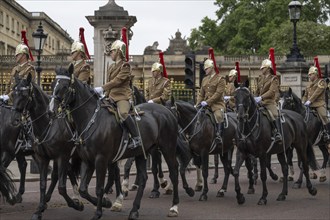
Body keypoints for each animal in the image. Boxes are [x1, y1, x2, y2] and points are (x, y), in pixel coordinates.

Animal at [11, 74, 84, 220]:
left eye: (24, 94)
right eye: (13, 93)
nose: (15, 119)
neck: (47, 123)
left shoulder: (61, 156)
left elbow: (61, 187)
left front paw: (76, 204)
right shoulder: (43, 157)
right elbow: (43, 183)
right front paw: (39, 209)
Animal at [52, 65, 179, 220]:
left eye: (65, 86)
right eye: (53, 84)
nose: (52, 108)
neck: (91, 119)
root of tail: (167, 111)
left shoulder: (101, 159)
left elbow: (99, 187)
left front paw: (99, 211)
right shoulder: (88, 160)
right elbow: (83, 189)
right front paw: (105, 202)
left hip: (167, 148)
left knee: (174, 172)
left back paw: (173, 207)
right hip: (142, 153)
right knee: (143, 178)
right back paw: (134, 210)